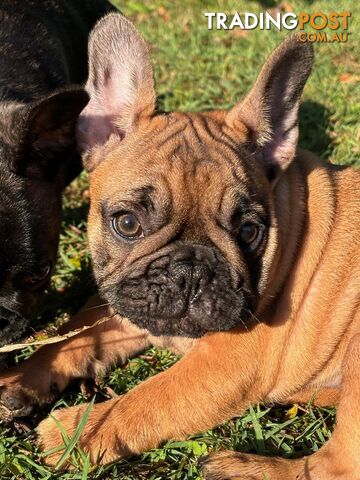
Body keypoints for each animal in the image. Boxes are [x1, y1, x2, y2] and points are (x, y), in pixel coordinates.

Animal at [1, 13, 358, 478]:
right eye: (127, 223)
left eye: (249, 231)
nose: (190, 271)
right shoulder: (125, 306)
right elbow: (70, 337)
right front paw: (19, 378)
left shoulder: (226, 362)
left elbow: (148, 399)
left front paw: (75, 430)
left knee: (335, 464)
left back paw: (241, 465)